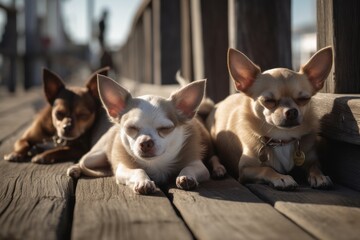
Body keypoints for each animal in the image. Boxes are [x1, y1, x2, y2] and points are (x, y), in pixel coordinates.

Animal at [67, 76, 211, 194]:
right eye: (130, 128)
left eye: (165, 128)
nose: (146, 142)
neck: (156, 163)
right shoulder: (122, 168)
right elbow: (138, 170)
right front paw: (143, 181)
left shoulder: (199, 165)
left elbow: (189, 168)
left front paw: (186, 177)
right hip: (94, 156)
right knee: (82, 161)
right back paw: (75, 168)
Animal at [207, 46, 334, 189]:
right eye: (268, 100)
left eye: (304, 99)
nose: (292, 111)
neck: (282, 139)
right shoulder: (245, 169)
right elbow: (266, 169)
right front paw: (282, 178)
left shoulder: (311, 159)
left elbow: (314, 166)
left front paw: (319, 176)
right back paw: (219, 170)